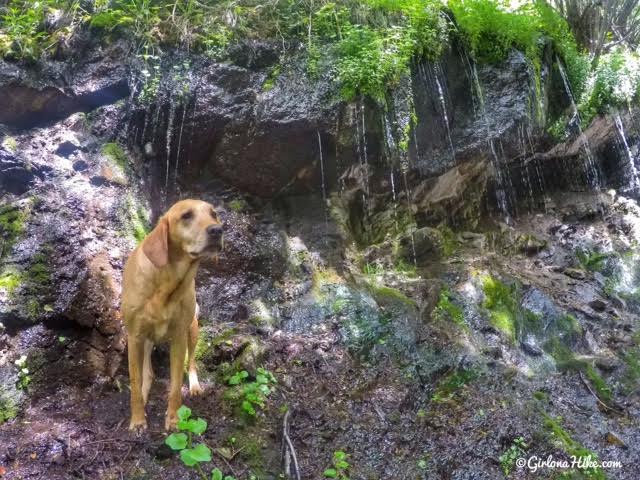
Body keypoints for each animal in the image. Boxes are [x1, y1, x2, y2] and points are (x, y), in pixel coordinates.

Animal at [121, 199, 224, 432]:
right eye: (186, 215)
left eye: (213, 214)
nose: (217, 230)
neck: (166, 283)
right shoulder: (134, 336)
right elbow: (135, 382)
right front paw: (137, 420)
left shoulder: (178, 337)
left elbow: (176, 386)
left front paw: (174, 419)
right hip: (143, 339)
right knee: (147, 372)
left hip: (192, 330)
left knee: (191, 362)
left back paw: (194, 386)